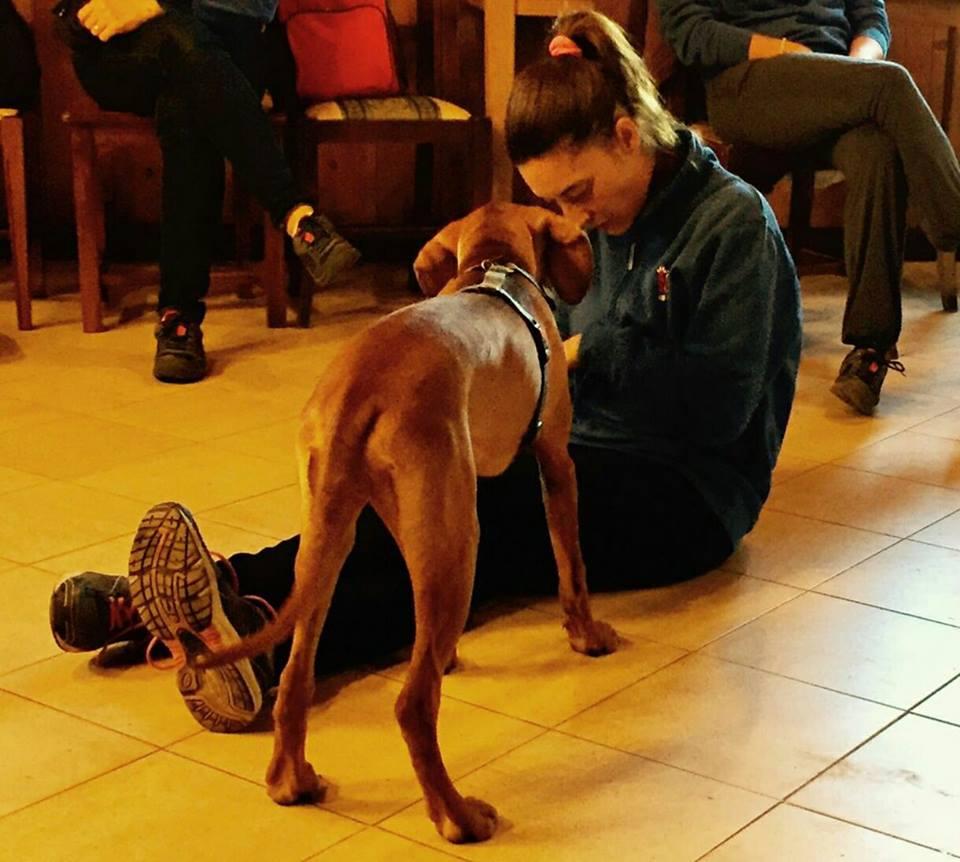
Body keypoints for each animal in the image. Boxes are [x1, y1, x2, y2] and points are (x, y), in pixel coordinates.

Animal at [203, 201, 624, 844]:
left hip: (335, 540)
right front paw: (586, 634)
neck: (492, 267)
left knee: (297, 677)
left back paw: (291, 780)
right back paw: (458, 816)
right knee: (414, 704)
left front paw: (447, 652)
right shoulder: (555, 459)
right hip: (460, 540)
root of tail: (360, 388)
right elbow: (571, 562)